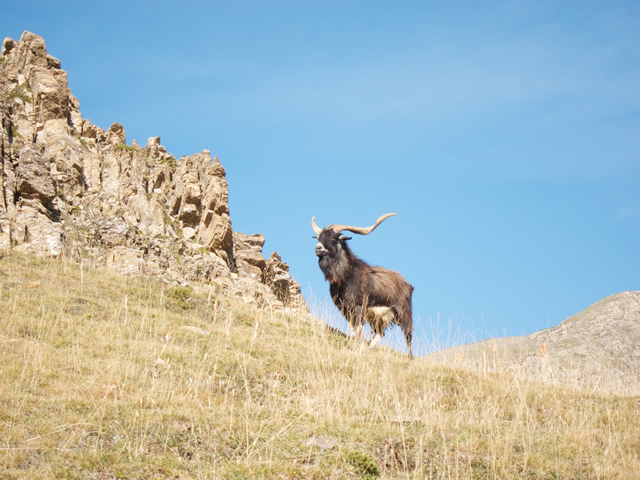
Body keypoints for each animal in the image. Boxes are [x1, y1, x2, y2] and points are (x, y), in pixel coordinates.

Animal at [312, 215, 416, 360]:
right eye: (319, 237)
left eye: (333, 237)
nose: (318, 248)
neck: (346, 276)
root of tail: (408, 285)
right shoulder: (345, 309)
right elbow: (353, 327)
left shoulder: (359, 306)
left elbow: (358, 328)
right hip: (378, 318)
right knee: (380, 333)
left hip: (403, 313)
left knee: (408, 334)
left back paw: (410, 357)